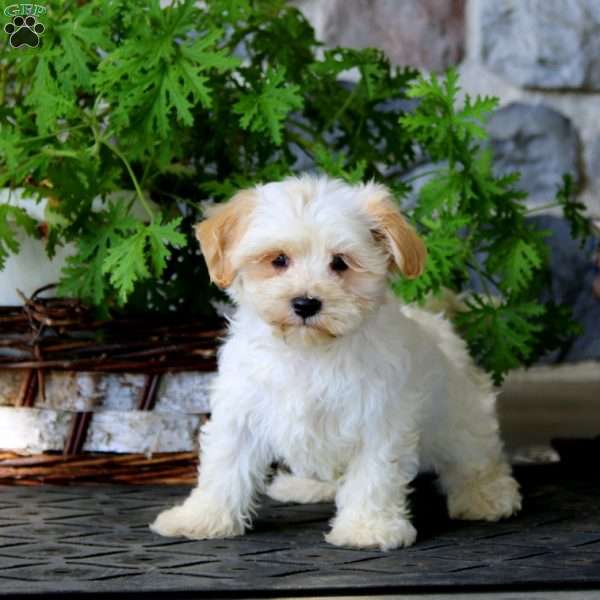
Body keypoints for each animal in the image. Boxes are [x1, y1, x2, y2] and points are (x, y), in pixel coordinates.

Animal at [152, 176, 524, 552]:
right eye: (279, 260)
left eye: (341, 263)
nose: (305, 303)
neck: (309, 351)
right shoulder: (241, 410)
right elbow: (224, 466)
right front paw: (201, 518)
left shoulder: (379, 419)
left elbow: (374, 476)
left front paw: (367, 529)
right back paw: (307, 486)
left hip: (460, 417)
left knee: (475, 457)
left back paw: (486, 496)